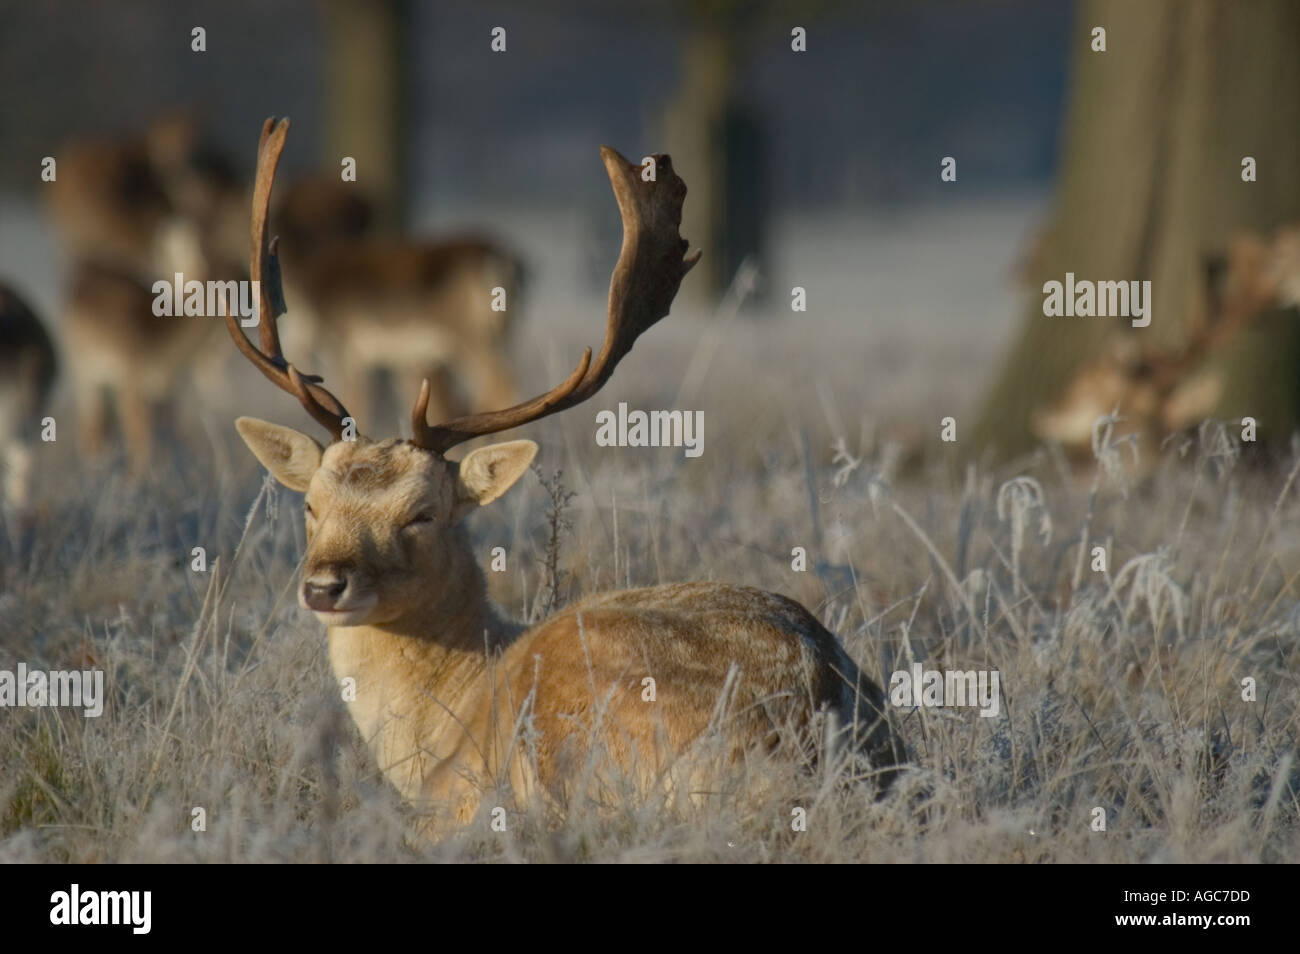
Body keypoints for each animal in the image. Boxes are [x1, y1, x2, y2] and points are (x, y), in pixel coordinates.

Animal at [271, 174, 525, 431]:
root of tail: (501, 263)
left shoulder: (346, 344)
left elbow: (356, 405)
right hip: (502, 331)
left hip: (469, 333)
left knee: (501, 385)